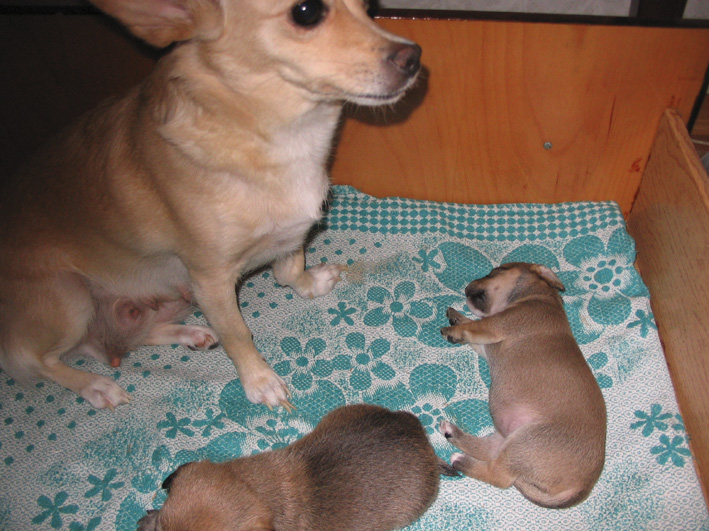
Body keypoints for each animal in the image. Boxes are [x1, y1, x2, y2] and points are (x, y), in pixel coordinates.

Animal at [0, 0, 421, 410]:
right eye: (306, 12)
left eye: (368, 7)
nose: (414, 57)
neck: (284, 138)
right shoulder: (210, 281)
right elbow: (237, 333)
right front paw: (259, 381)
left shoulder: (288, 236)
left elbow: (288, 269)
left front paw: (309, 283)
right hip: (69, 297)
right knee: (42, 361)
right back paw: (96, 386)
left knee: (126, 337)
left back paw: (188, 332)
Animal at [438, 262, 606, 508]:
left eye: (496, 271)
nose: (467, 286)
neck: (536, 295)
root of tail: (583, 487)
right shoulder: (485, 345)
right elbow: (470, 327)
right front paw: (456, 317)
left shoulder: (494, 326)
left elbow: (475, 325)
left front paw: (452, 329)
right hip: (509, 439)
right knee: (488, 453)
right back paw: (452, 433)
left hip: (526, 441)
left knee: (498, 475)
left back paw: (460, 460)